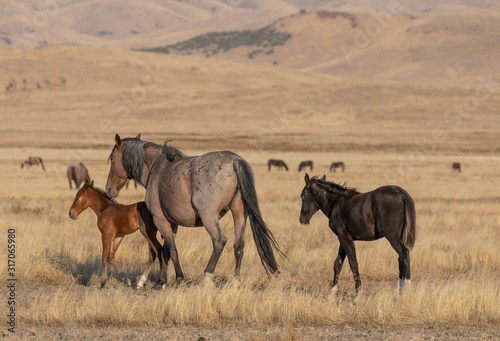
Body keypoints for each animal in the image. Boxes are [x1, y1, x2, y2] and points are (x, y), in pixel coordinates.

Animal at [104, 134, 286, 286]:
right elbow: (165, 251)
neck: (156, 167)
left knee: (219, 241)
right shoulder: (172, 224)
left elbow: (171, 250)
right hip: (239, 213)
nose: (109, 190)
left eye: (112, 158)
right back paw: (236, 280)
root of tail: (235, 161)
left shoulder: (161, 221)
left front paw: (177, 279)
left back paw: (207, 277)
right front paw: (162, 281)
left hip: (209, 217)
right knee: (239, 245)